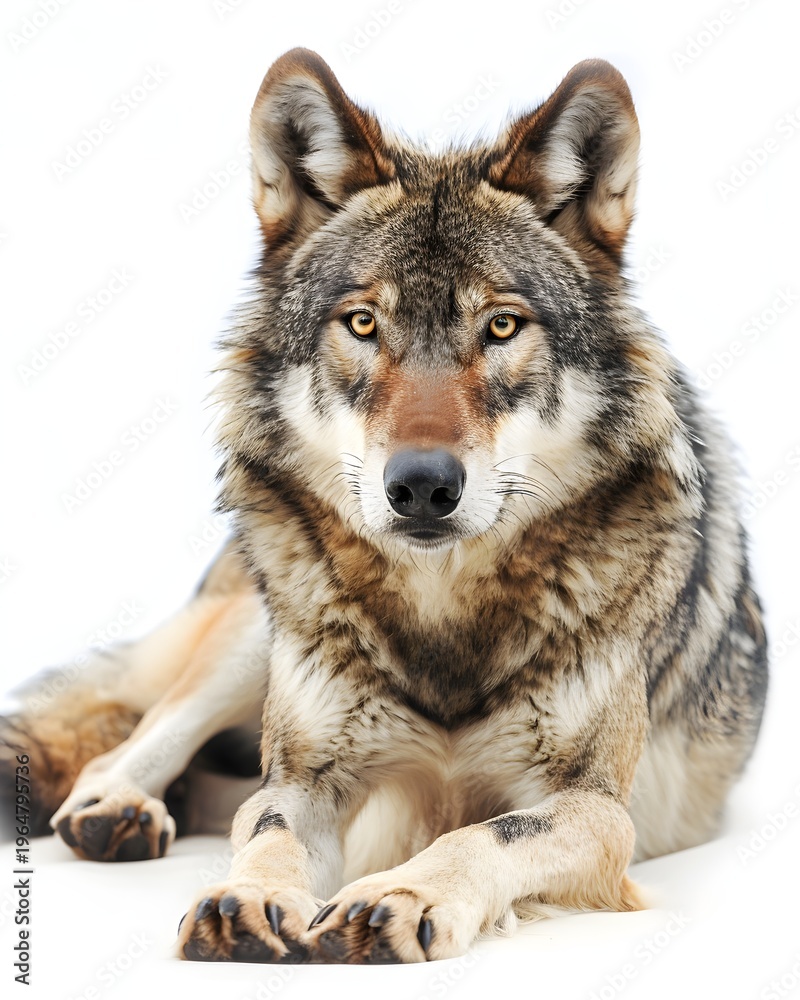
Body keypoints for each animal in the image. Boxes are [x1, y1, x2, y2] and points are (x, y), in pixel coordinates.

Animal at [0, 49, 767, 964]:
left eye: (502, 326)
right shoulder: (306, 779)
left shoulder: (595, 808)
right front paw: (246, 898)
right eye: (363, 323)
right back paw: (117, 809)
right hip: (259, 629)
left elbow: (484, 832)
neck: (445, 618)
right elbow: (269, 829)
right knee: (129, 745)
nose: (424, 485)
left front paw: (400, 894)